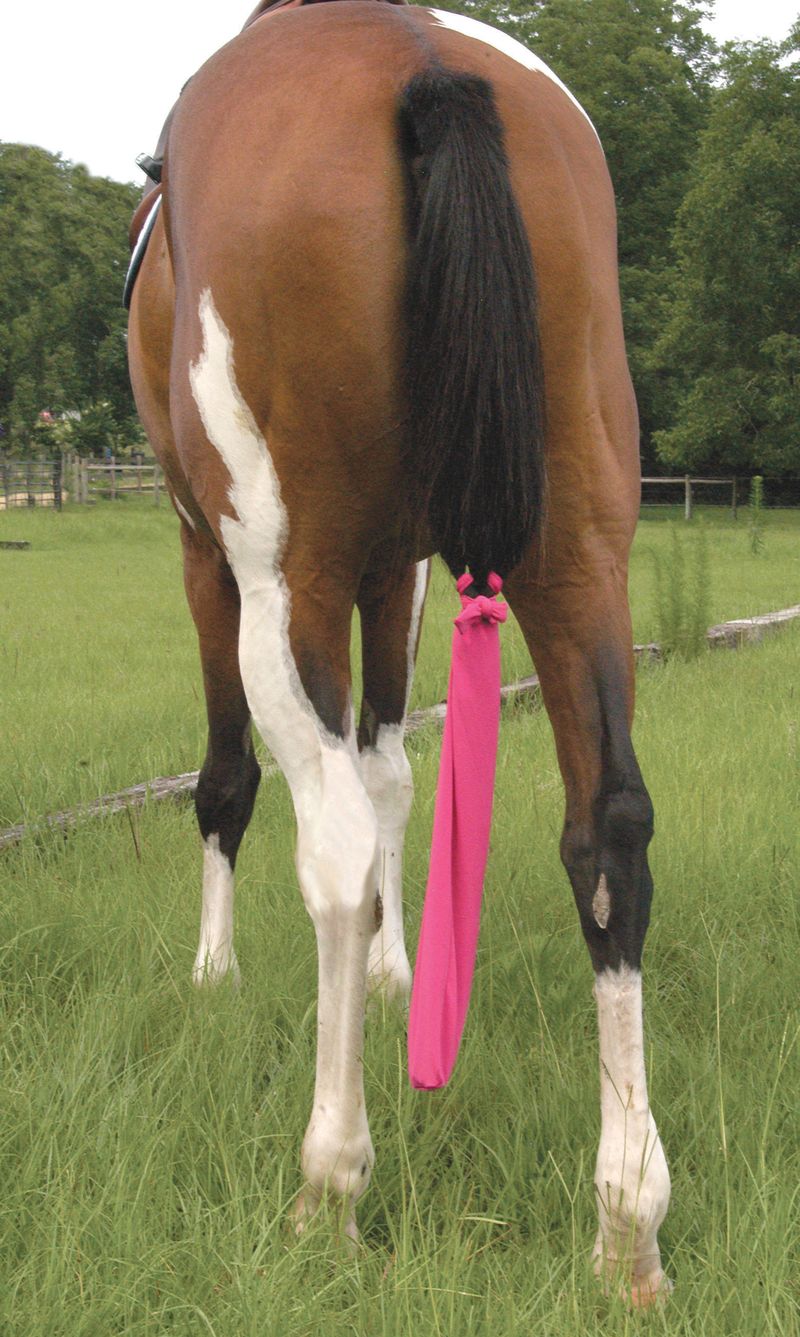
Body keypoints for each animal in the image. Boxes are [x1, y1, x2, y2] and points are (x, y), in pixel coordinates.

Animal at [126, 0, 671, 1305]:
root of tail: (417, 59)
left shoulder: (214, 553)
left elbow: (236, 782)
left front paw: (217, 972)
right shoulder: (407, 567)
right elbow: (396, 774)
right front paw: (396, 977)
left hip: (286, 572)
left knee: (327, 844)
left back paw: (330, 1181)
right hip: (576, 542)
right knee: (608, 830)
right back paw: (625, 1222)